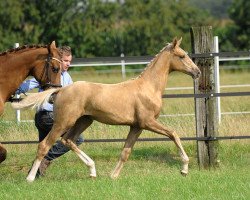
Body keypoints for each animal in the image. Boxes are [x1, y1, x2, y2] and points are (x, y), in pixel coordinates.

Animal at [13, 36, 201, 182]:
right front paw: (184, 168)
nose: (197, 72)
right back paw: (30, 178)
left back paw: (92, 171)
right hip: (63, 122)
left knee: (68, 140)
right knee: (45, 145)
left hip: (84, 121)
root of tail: (61, 90)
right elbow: (173, 134)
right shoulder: (148, 122)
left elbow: (126, 152)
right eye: (182, 56)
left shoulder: (136, 126)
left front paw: (113, 176)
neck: (148, 87)